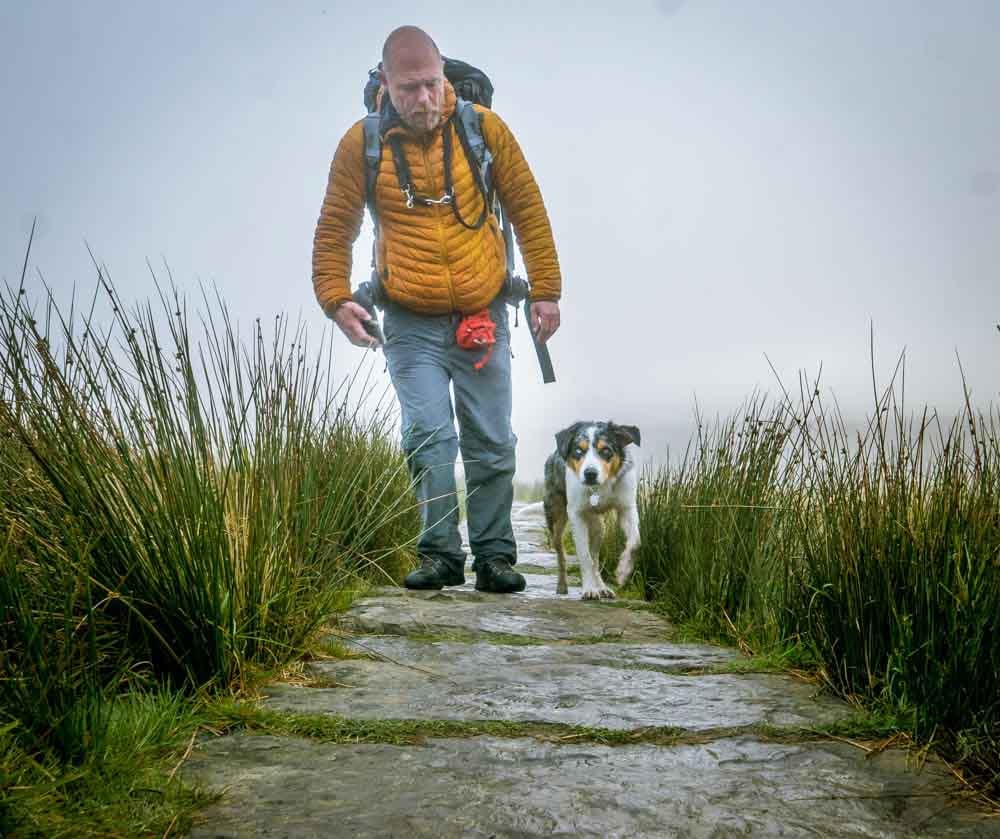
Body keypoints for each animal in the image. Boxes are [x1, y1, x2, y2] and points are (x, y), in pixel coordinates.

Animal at [548, 424, 640, 600]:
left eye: (606, 450)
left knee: (596, 558)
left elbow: (635, 542)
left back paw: (602, 587)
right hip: (556, 517)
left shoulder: (627, 508)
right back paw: (562, 585)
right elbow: (584, 555)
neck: (600, 488)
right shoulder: (576, 515)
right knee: (561, 552)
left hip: (599, 528)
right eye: (578, 451)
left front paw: (623, 571)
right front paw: (589, 589)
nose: (590, 473)